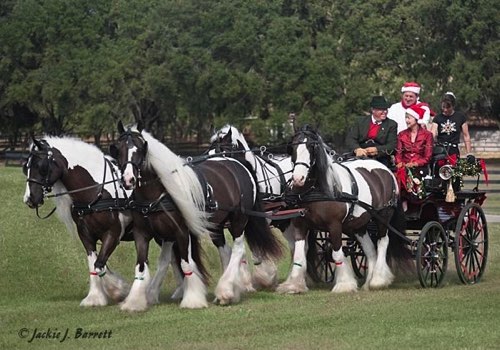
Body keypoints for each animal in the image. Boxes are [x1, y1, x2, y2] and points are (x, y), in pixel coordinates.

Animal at [23, 137, 133, 306]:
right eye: (25, 167)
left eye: (41, 166)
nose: (29, 199)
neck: (96, 191)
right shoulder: (85, 235)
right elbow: (94, 264)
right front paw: (95, 297)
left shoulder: (113, 233)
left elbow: (100, 264)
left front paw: (117, 290)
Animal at [113, 122, 284, 306]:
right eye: (118, 148)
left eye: (140, 148)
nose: (128, 179)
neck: (157, 193)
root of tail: (238, 164)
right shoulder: (146, 233)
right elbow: (147, 264)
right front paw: (138, 299)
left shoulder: (181, 231)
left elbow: (185, 263)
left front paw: (192, 299)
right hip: (216, 225)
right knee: (225, 251)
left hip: (238, 220)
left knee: (238, 249)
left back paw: (225, 290)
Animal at [282, 127, 410, 294]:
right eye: (293, 148)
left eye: (311, 147)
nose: (298, 178)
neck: (317, 189)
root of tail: (385, 169)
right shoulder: (300, 224)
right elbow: (299, 256)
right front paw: (294, 285)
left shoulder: (334, 226)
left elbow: (337, 254)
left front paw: (344, 284)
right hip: (359, 225)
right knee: (370, 250)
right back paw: (368, 283)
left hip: (383, 216)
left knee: (383, 242)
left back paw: (378, 280)